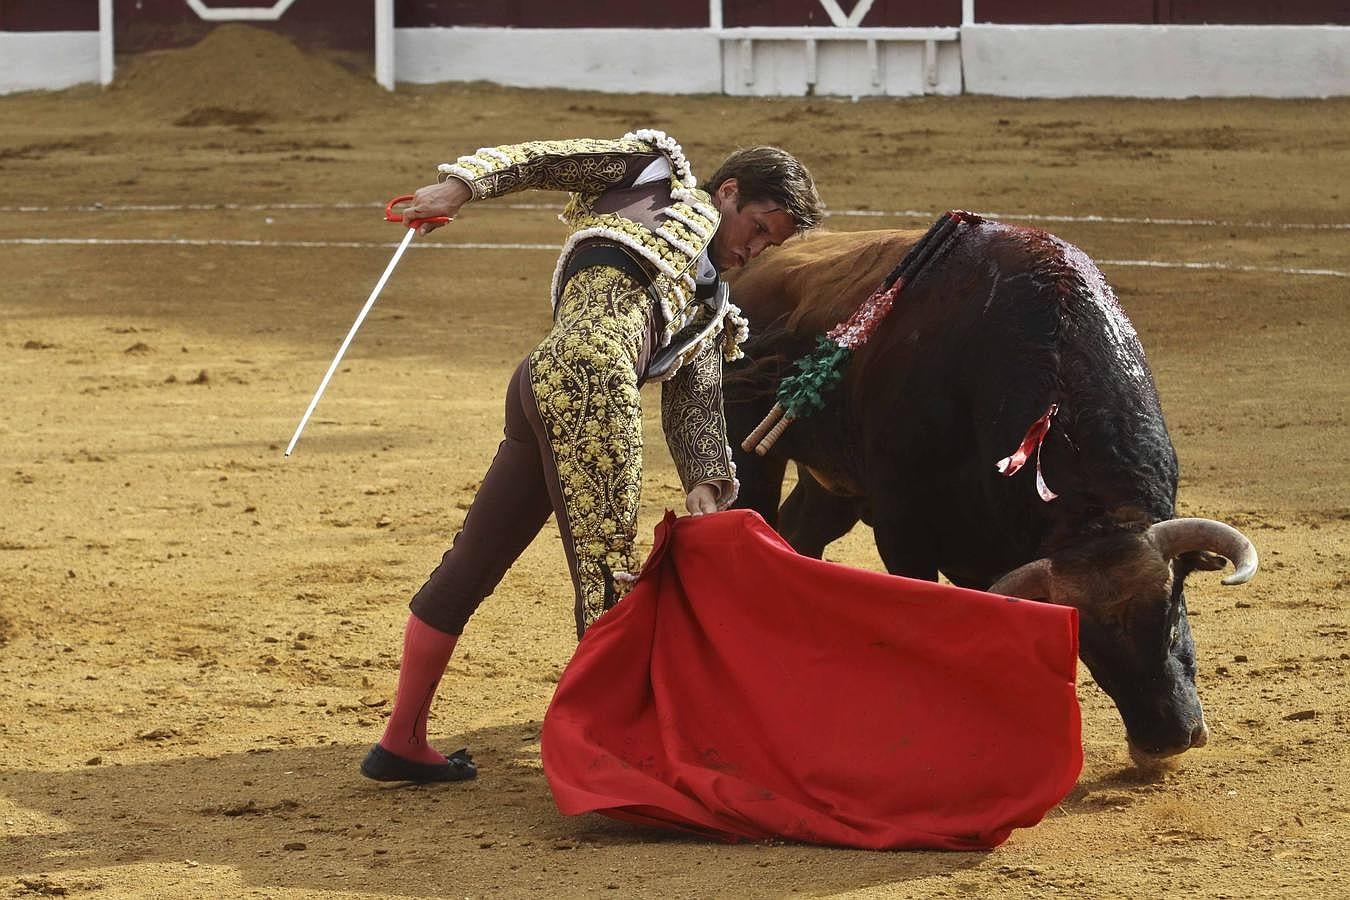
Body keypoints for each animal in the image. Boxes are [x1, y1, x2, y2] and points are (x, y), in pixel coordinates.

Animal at [723, 221, 1258, 766]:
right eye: (1086, 643)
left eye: (1171, 619)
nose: (1167, 740)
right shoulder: (903, 531)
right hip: (751, 452)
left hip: (832, 487)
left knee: (799, 532)